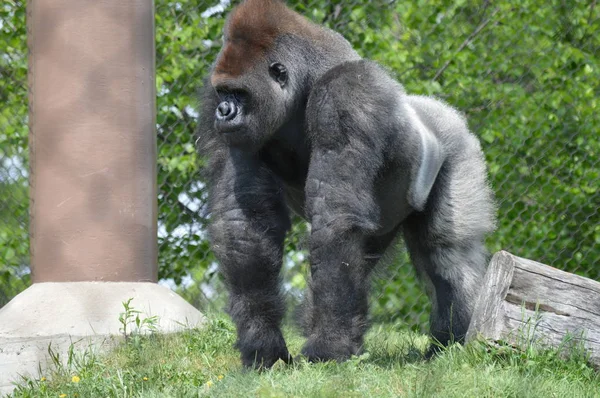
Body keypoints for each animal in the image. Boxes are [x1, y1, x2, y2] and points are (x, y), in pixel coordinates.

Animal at [197, 0, 496, 368]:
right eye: (224, 92)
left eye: (240, 93)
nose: (225, 111)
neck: (305, 83)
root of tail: (441, 108)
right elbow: (244, 225)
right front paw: (262, 343)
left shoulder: (345, 95)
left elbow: (336, 220)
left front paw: (329, 347)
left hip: (458, 144)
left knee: (446, 254)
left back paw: (452, 342)